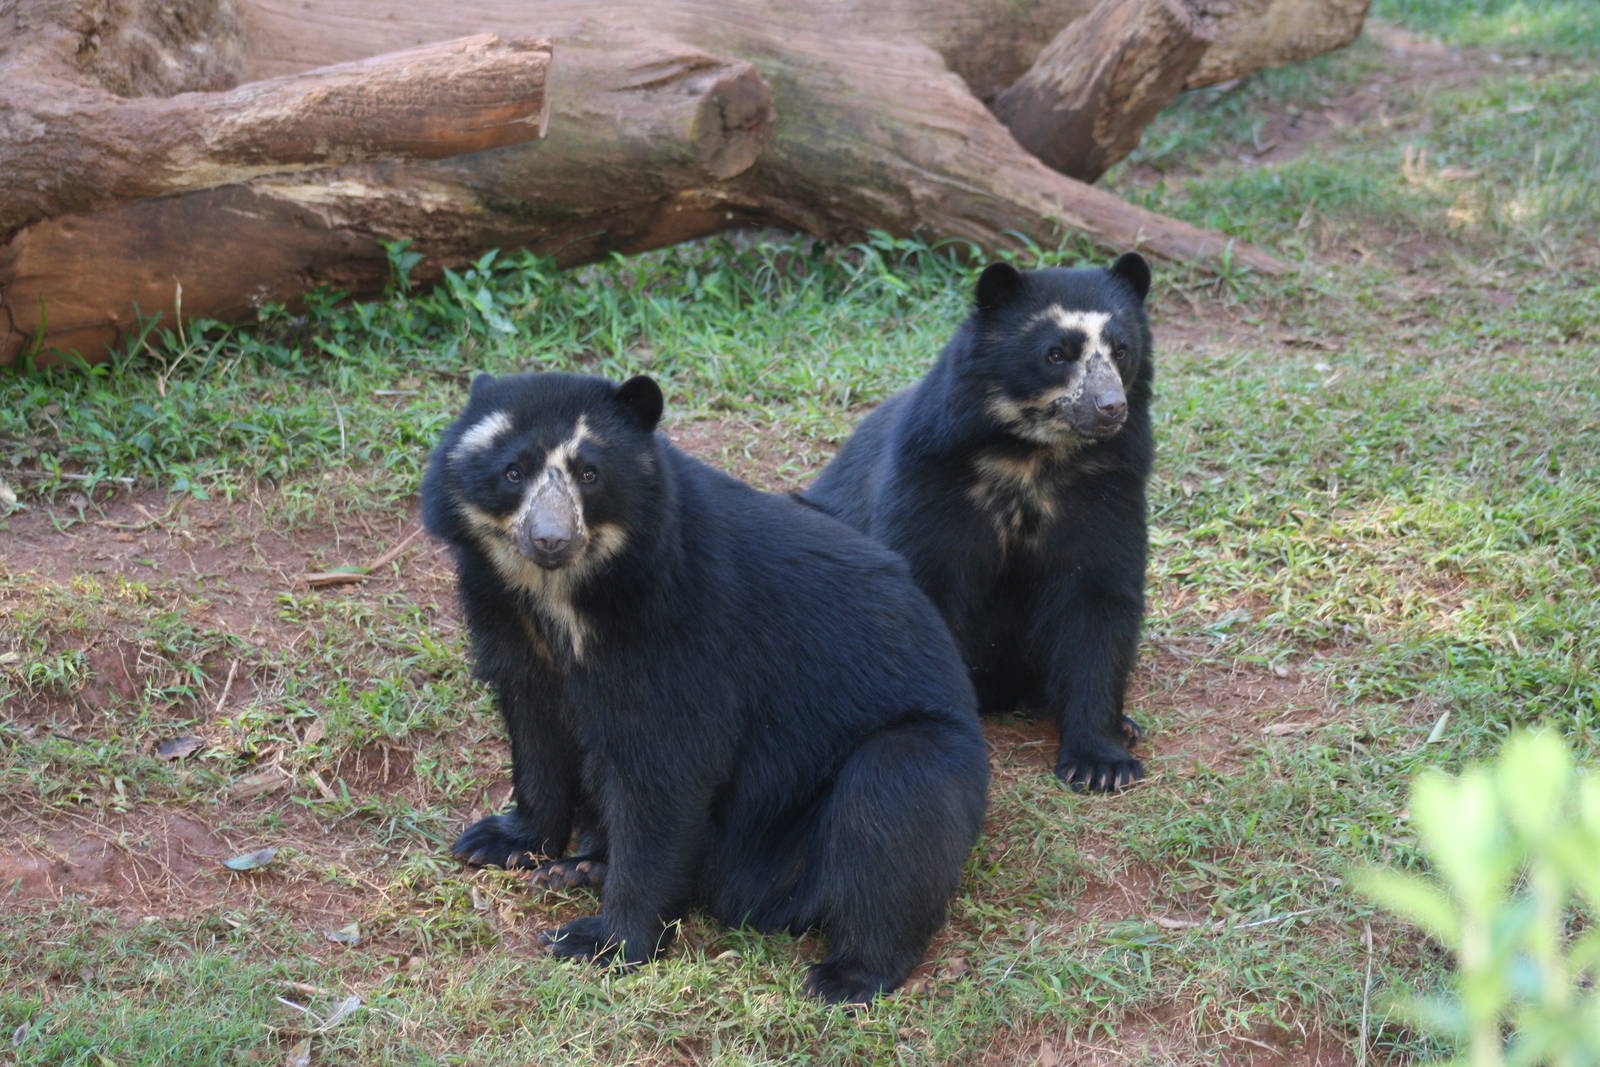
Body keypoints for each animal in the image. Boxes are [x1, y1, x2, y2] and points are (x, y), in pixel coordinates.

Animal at [421, 371, 989, 1004]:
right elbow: (536, 728)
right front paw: (499, 842)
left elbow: (667, 770)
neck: (570, 595)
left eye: (590, 474)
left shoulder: (682, 631)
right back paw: (583, 865)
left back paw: (847, 975)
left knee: (894, 800)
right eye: (513, 471)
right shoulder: (507, 620)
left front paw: (600, 942)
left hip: (894, 773)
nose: (549, 539)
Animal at [805, 253, 1155, 793]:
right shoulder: (931, 478)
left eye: (1121, 350)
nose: (1109, 408)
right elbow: (926, 586)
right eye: (1056, 354)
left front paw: (1101, 763)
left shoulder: (1107, 489)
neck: (1031, 455)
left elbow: (1098, 600)